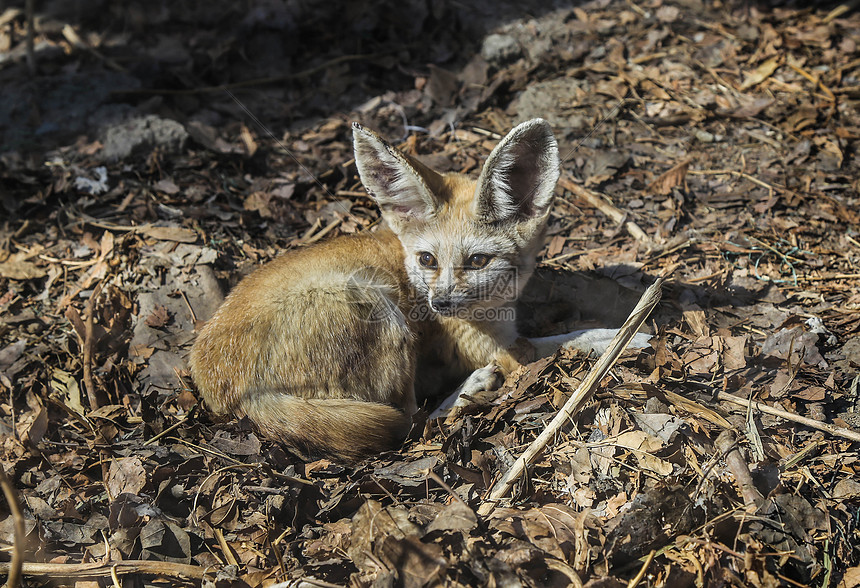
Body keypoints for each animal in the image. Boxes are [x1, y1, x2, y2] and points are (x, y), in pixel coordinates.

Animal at [190, 118, 644, 460]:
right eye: (428, 260)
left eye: (477, 261)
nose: (438, 304)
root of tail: (238, 396)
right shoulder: (502, 348)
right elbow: (567, 339)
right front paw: (623, 336)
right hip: (382, 312)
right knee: (412, 424)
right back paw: (469, 389)